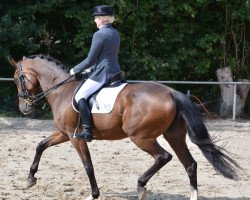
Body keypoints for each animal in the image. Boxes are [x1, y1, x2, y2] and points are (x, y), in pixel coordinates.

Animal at [9, 54, 240, 199]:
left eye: (17, 79)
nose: (24, 108)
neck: (62, 91)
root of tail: (172, 91)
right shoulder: (64, 134)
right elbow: (40, 145)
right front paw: (30, 179)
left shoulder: (75, 138)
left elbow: (88, 166)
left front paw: (94, 195)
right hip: (174, 136)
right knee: (190, 164)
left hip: (140, 137)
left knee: (163, 157)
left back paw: (141, 186)